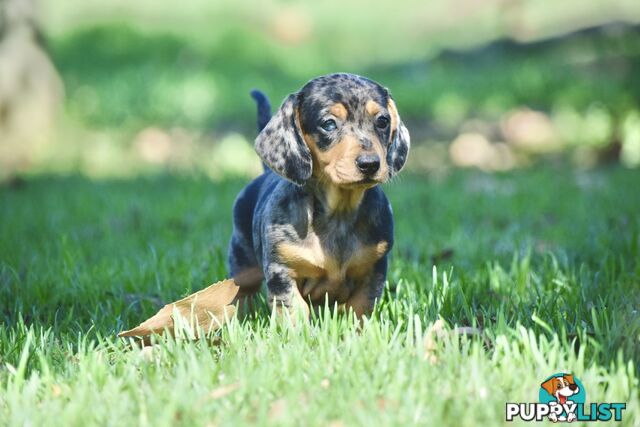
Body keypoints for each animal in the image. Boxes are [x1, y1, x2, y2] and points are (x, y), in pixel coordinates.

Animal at [229, 73, 410, 320]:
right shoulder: (282, 271)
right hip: (242, 265)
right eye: (329, 124)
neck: (339, 213)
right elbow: (293, 310)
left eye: (382, 121)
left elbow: (360, 308)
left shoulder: (373, 271)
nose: (370, 164)